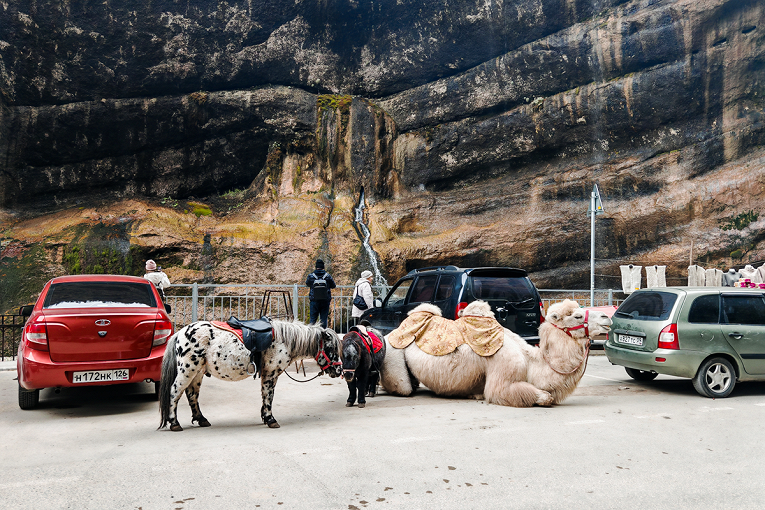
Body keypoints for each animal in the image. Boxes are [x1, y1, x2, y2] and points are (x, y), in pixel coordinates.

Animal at [158, 318, 340, 430]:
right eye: (330, 348)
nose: (338, 370)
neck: (283, 340)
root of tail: (180, 333)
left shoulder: (267, 374)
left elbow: (265, 396)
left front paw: (265, 417)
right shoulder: (271, 374)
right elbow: (268, 396)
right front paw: (270, 419)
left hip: (197, 372)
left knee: (192, 394)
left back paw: (201, 419)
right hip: (188, 369)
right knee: (175, 392)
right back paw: (174, 423)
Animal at [380, 298, 612, 406]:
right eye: (577, 316)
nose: (606, 318)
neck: (531, 361)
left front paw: (474, 393)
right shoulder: (504, 373)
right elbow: (542, 396)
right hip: (393, 352)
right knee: (403, 387)